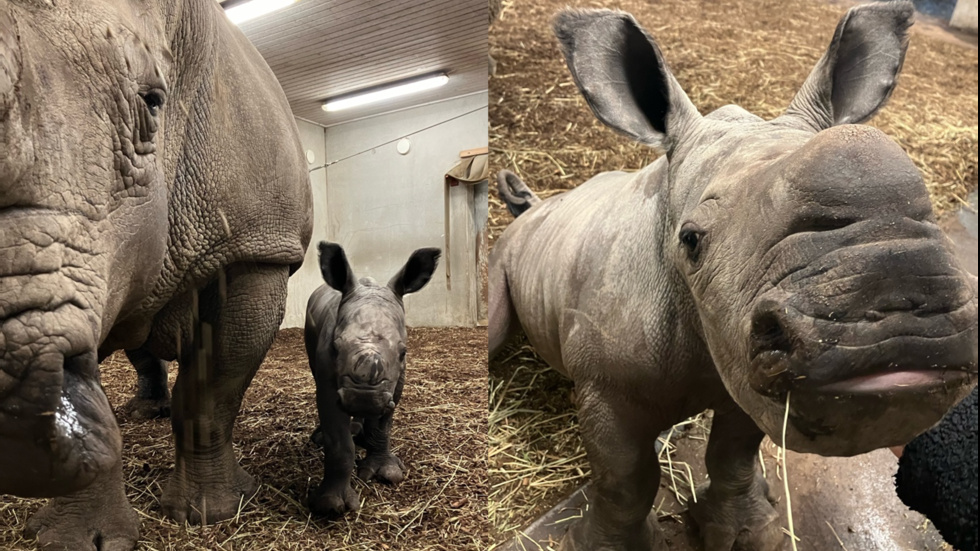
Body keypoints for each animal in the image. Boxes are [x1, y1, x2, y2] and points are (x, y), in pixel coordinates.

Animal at [306, 242, 440, 516]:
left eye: (403, 352)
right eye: (335, 347)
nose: (363, 399)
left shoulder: (394, 382)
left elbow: (381, 426)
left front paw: (386, 474)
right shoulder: (329, 380)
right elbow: (339, 443)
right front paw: (329, 506)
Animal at [494, 2, 976, 548]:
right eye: (691, 240)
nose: (898, 327)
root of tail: (536, 208)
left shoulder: (741, 362)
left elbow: (733, 454)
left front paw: (745, 529)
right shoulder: (606, 385)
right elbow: (626, 479)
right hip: (506, 252)